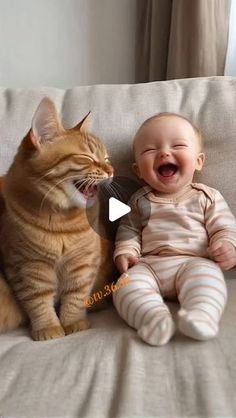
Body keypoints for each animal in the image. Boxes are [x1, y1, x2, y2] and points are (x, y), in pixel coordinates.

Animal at [0, 97, 114, 340]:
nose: (111, 170)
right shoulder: (27, 267)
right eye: (87, 157)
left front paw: (73, 322)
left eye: (106, 158)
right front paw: (47, 328)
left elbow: (75, 296)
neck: (62, 224)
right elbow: (38, 302)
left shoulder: (83, 263)